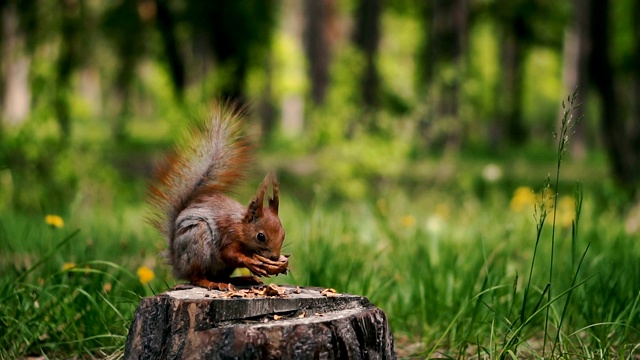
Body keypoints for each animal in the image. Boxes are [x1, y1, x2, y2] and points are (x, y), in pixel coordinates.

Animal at [148, 103, 288, 290]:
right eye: (261, 236)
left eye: (283, 233)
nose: (274, 257)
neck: (241, 227)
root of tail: (179, 266)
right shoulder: (229, 235)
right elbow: (228, 254)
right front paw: (251, 263)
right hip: (198, 243)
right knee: (196, 277)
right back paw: (212, 283)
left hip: (221, 267)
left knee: (224, 277)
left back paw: (242, 279)